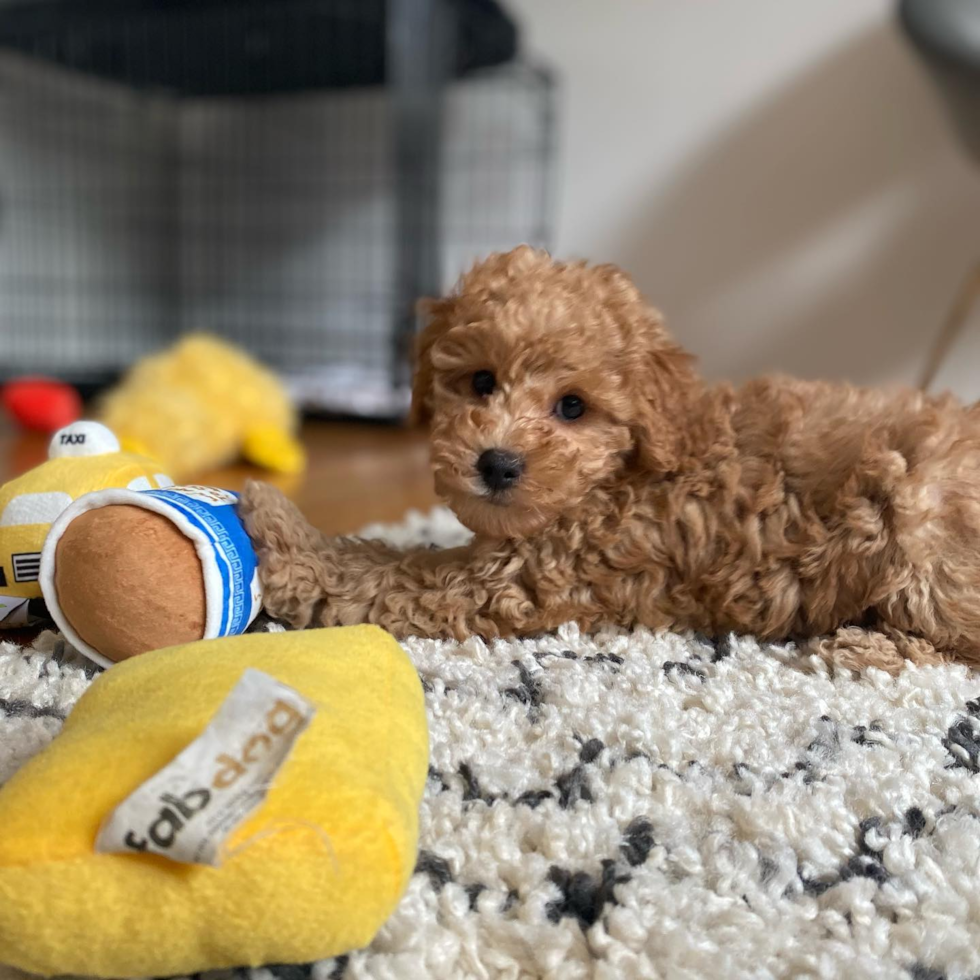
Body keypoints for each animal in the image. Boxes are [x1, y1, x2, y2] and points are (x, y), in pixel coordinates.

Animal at [237, 247, 980, 672]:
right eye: (480, 382)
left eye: (573, 407)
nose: (497, 464)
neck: (621, 471)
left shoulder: (517, 579)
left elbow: (381, 573)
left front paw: (279, 534)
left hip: (918, 519)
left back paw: (865, 646)